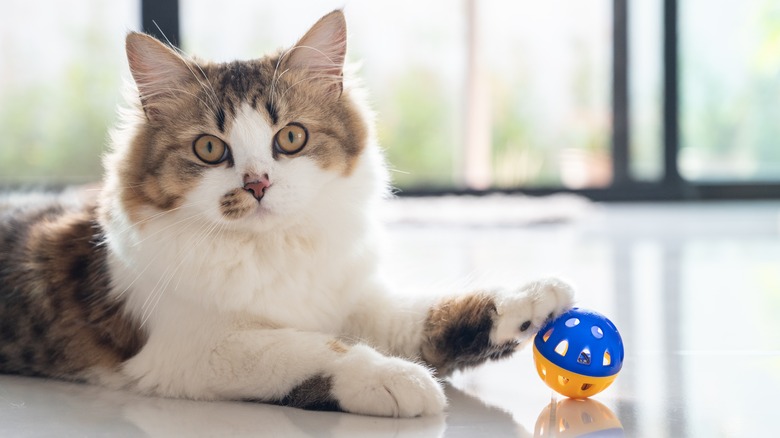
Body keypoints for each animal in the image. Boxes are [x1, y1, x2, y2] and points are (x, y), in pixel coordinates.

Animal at [0, 11, 572, 418]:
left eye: (291, 138)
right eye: (210, 149)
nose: (257, 184)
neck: (273, 250)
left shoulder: (353, 300)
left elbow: (425, 315)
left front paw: (530, 302)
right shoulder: (193, 348)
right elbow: (315, 349)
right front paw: (396, 380)